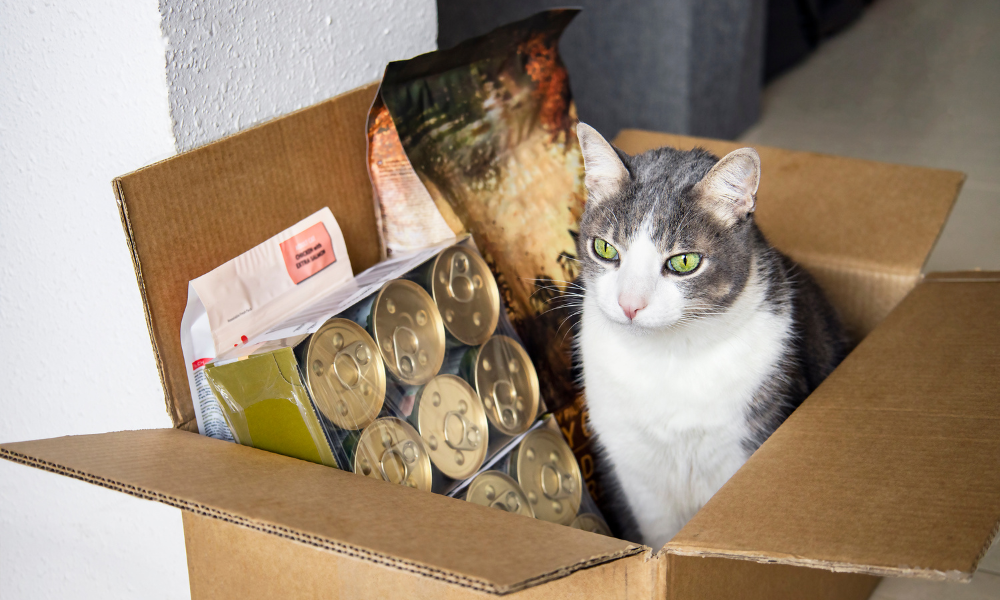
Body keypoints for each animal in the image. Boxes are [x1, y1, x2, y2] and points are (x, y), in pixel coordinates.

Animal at [576, 124, 848, 552]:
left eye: (684, 262)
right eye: (604, 248)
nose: (630, 304)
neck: (666, 358)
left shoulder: (744, 445)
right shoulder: (634, 470)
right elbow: (657, 532)